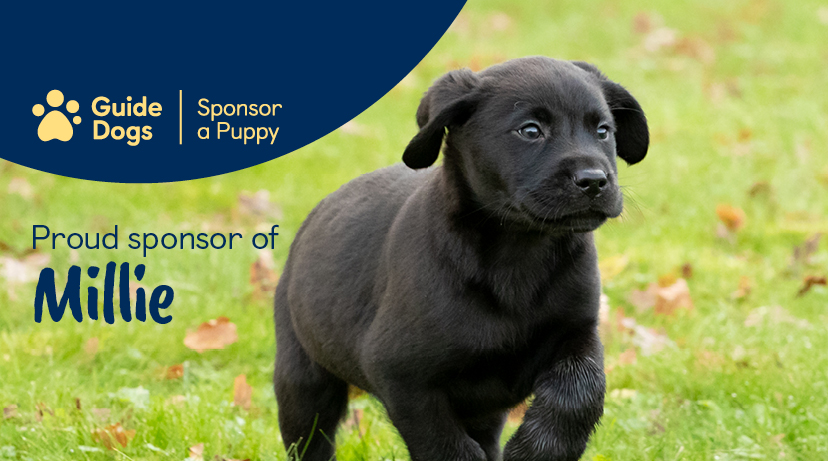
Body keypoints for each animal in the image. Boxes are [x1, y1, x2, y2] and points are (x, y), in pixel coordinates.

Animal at [273, 56, 649, 461]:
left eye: (603, 131)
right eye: (530, 130)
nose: (594, 180)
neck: (520, 254)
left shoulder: (577, 333)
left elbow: (581, 393)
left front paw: (539, 449)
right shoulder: (402, 375)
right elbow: (443, 443)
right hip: (302, 377)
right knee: (310, 436)